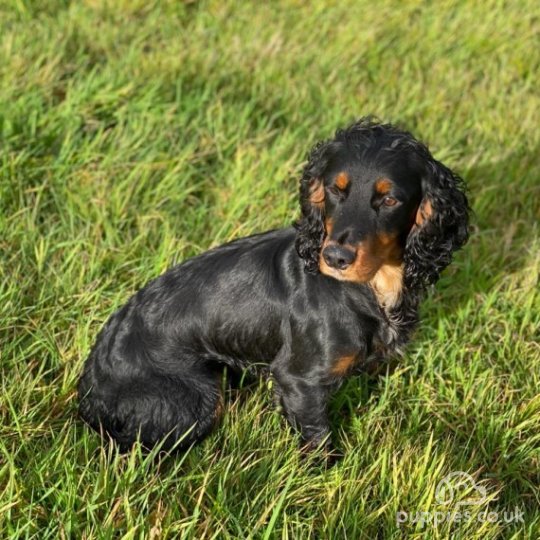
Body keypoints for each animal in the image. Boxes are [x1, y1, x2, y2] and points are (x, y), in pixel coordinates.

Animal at [78, 117, 470, 452]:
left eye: (389, 199)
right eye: (335, 189)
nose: (335, 257)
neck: (373, 286)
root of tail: (90, 384)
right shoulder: (298, 380)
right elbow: (318, 439)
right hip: (196, 398)